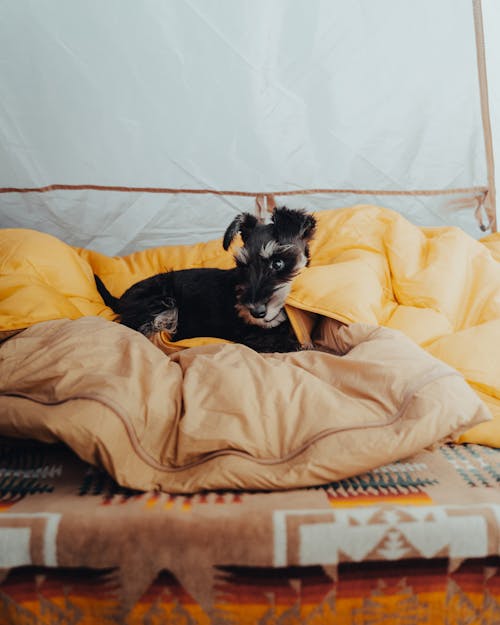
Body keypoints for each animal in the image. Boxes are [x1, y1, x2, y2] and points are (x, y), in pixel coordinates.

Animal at [94, 206, 316, 348]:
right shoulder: (252, 336)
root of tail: (121, 300)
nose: (256, 312)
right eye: (242, 266)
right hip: (161, 303)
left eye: (277, 263)